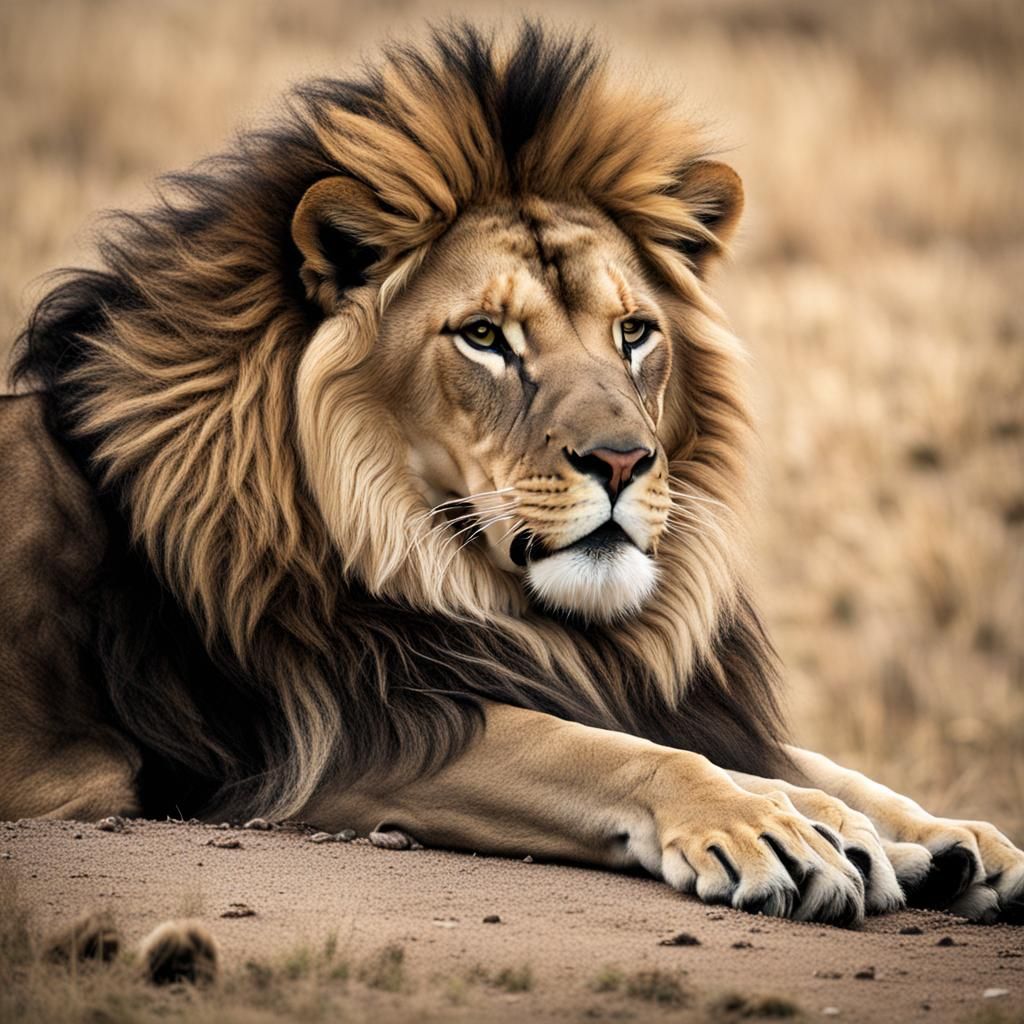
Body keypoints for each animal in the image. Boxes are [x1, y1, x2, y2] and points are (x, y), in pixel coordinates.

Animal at [3, 23, 1022, 928]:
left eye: (634, 332)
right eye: (486, 337)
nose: (622, 460)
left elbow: (798, 757)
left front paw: (943, 836)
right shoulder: (351, 734)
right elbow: (605, 749)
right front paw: (784, 830)